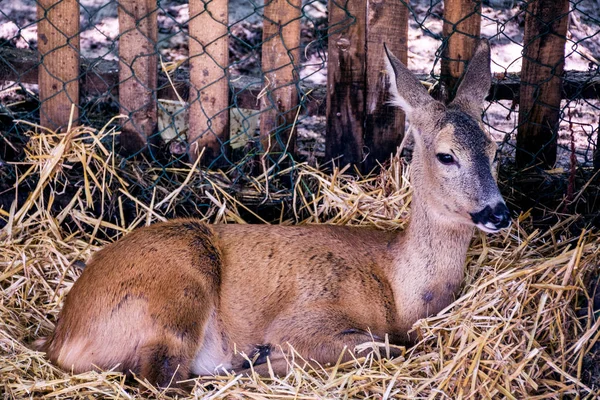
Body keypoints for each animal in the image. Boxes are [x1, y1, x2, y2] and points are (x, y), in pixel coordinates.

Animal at [37, 39, 508, 388]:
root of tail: (61, 339)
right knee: (161, 378)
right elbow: (380, 347)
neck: (397, 287)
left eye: (493, 148)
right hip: (174, 294)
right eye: (446, 155)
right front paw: (267, 355)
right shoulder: (307, 318)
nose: (498, 213)